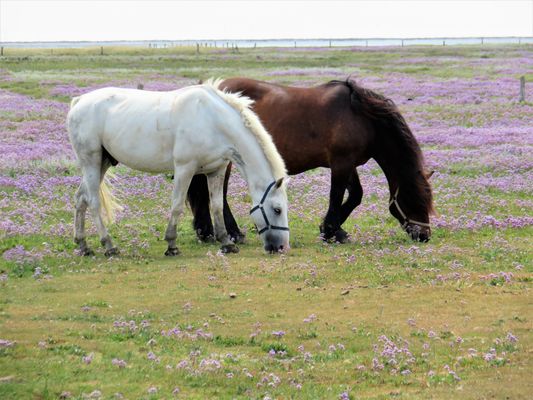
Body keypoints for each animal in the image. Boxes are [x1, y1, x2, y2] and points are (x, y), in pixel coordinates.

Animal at [69, 79, 290, 256]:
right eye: (277, 209)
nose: (281, 247)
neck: (212, 120)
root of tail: (78, 101)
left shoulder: (215, 171)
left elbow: (217, 206)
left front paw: (226, 242)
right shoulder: (185, 169)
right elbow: (176, 206)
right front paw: (171, 245)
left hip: (102, 163)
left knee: (80, 198)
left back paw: (83, 246)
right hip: (91, 161)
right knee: (93, 201)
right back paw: (108, 246)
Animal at [187, 77, 432, 242]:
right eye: (415, 200)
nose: (425, 235)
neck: (360, 117)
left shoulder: (348, 163)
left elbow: (355, 195)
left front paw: (334, 229)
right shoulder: (341, 163)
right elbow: (337, 195)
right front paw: (331, 230)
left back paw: (207, 231)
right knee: (219, 194)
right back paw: (234, 233)